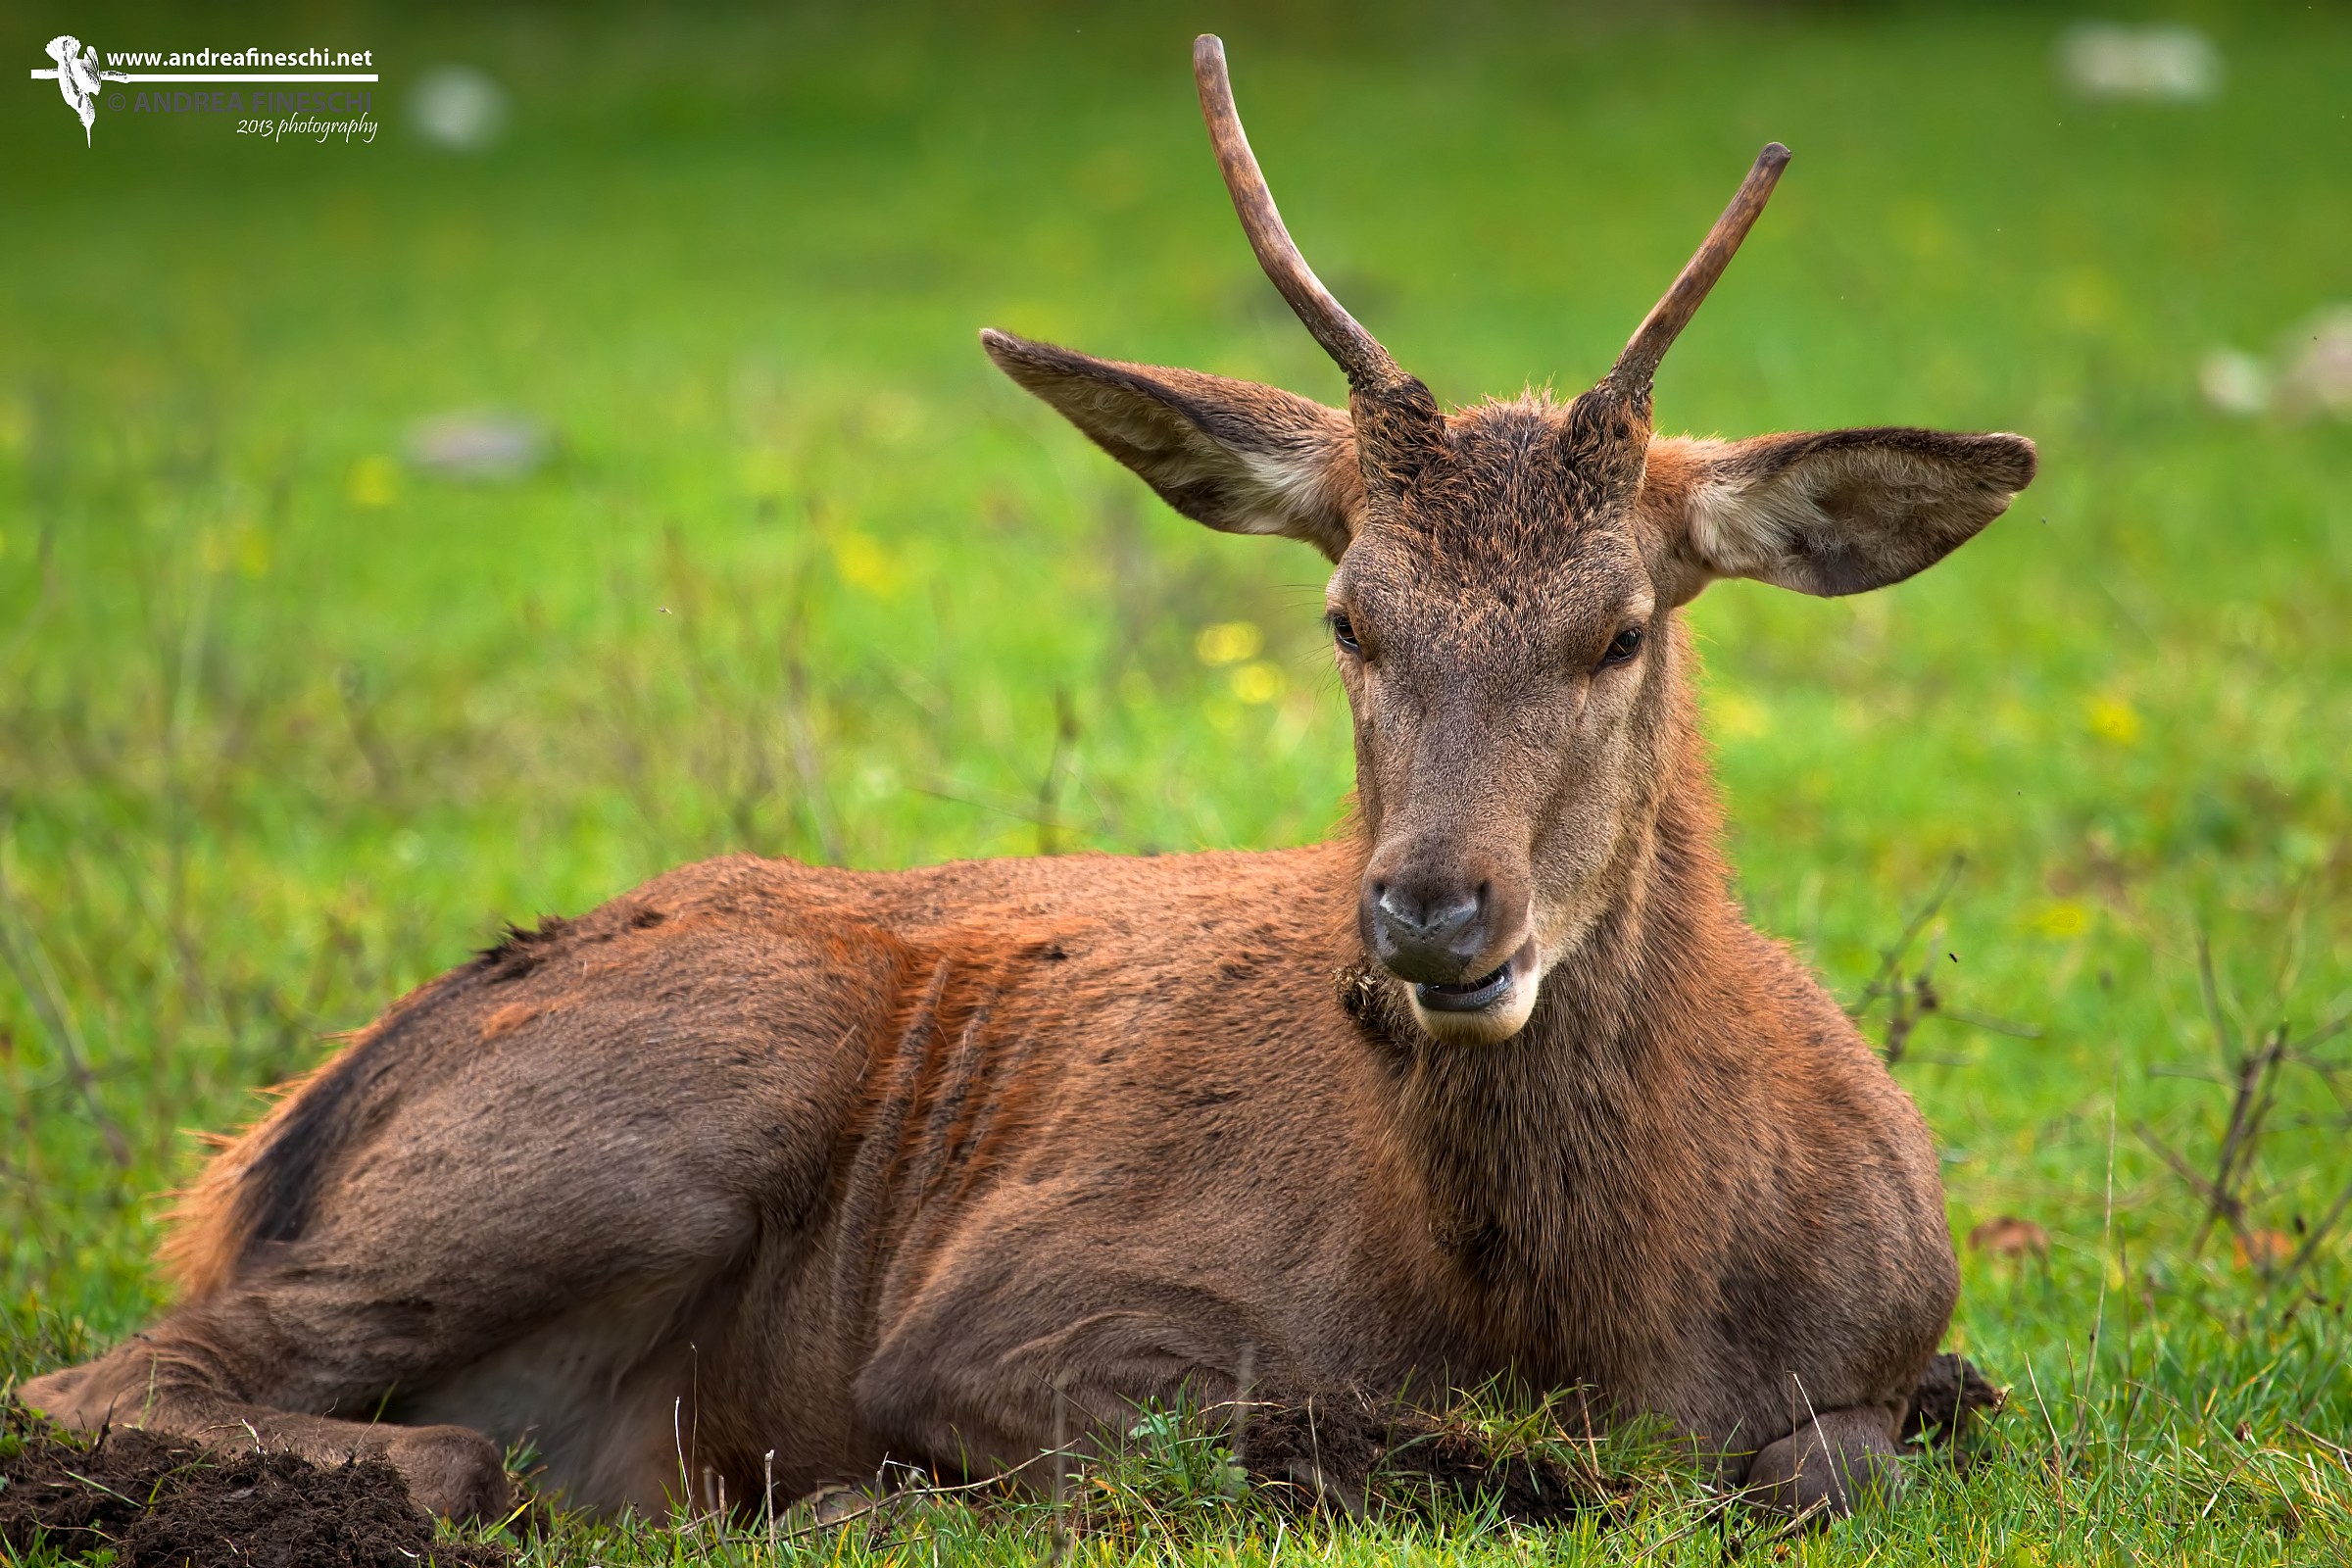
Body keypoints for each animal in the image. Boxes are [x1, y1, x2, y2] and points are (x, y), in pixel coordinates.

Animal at [24, 35, 2032, 1526]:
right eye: (1347, 617)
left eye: (1621, 629)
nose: (1427, 911)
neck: (1595, 1322)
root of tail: (264, 1145)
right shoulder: (1005, 1315)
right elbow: (1359, 1451)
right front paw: (876, 1495)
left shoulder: (1898, 1337)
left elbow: (1839, 1454)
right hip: (654, 1105)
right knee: (158, 1385)